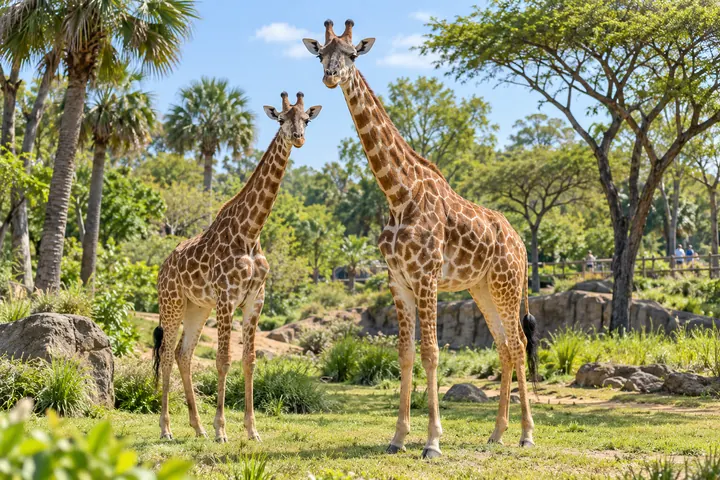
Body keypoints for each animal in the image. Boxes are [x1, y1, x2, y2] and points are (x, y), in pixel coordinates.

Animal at [152, 92, 322, 443]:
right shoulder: (227, 298)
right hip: (172, 303)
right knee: (167, 355)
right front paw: (222, 430)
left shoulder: (255, 299)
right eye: (281, 119)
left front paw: (252, 430)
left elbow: (249, 361)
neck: (251, 231)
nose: (298, 138)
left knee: (184, 354)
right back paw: (167, 429)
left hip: (197, 307)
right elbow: (223, 360)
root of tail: (162, 268)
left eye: (306, 120)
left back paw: (198, 427)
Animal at [303, 20, 539, 458]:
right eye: (321, 53)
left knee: (517, 343)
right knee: (503, 345)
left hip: (507, 285)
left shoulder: (426, 276)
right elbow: (405, 353)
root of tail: (521, 244)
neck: (398, 193)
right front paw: (398, 438)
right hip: (482, 288)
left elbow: (431, 352)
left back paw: (526, 434)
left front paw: (432, 442)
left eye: (353, 54)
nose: (330, 76)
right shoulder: (397, 280)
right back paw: (496, 433)